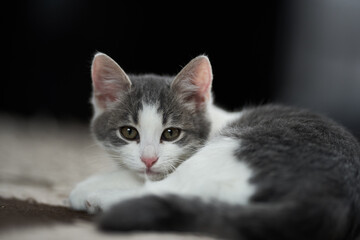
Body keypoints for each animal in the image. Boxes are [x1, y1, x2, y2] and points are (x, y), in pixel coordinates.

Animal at [69, 53, 360, 239]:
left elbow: (149, 180)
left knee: (167, 190)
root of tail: (330, 200)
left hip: (236, 148)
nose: (149, 159)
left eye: (171, 133)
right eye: (129, 132)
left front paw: (88, 187)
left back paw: (98, 199)